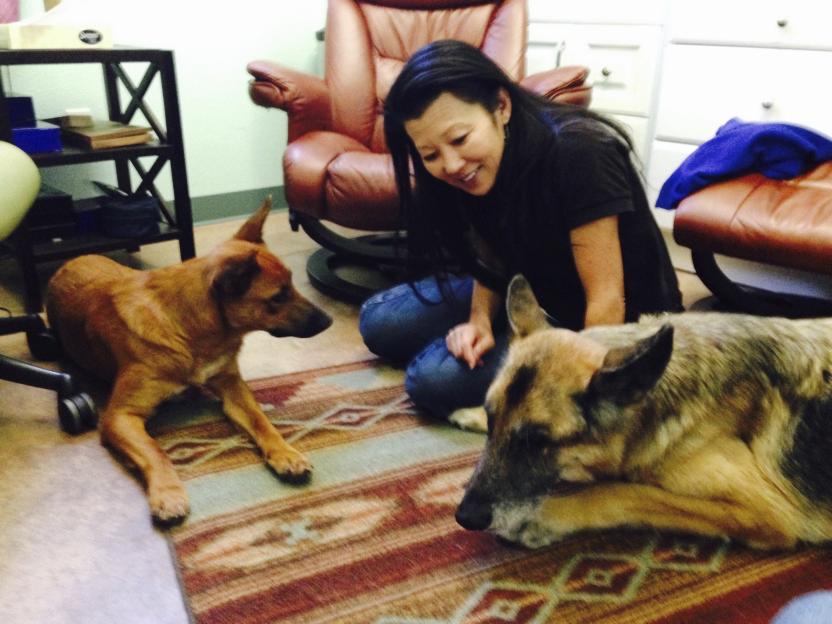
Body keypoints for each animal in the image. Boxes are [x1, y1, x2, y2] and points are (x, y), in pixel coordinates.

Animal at [46, 199, 332, 520]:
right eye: (278, 297)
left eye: (292, 286)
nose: (329, 320)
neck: (190, 329)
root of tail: (68, 262)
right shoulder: (119, 417)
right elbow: (154, 450)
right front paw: (167, 493)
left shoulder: (233, 388)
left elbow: (261, 421)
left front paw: (284, 452)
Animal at [456, 276, 832, 548]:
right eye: (493, 420)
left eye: (537, 440)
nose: (464, 517)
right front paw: (470, 414)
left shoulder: (764, 512)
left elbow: (622, 491)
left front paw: (544, 516)